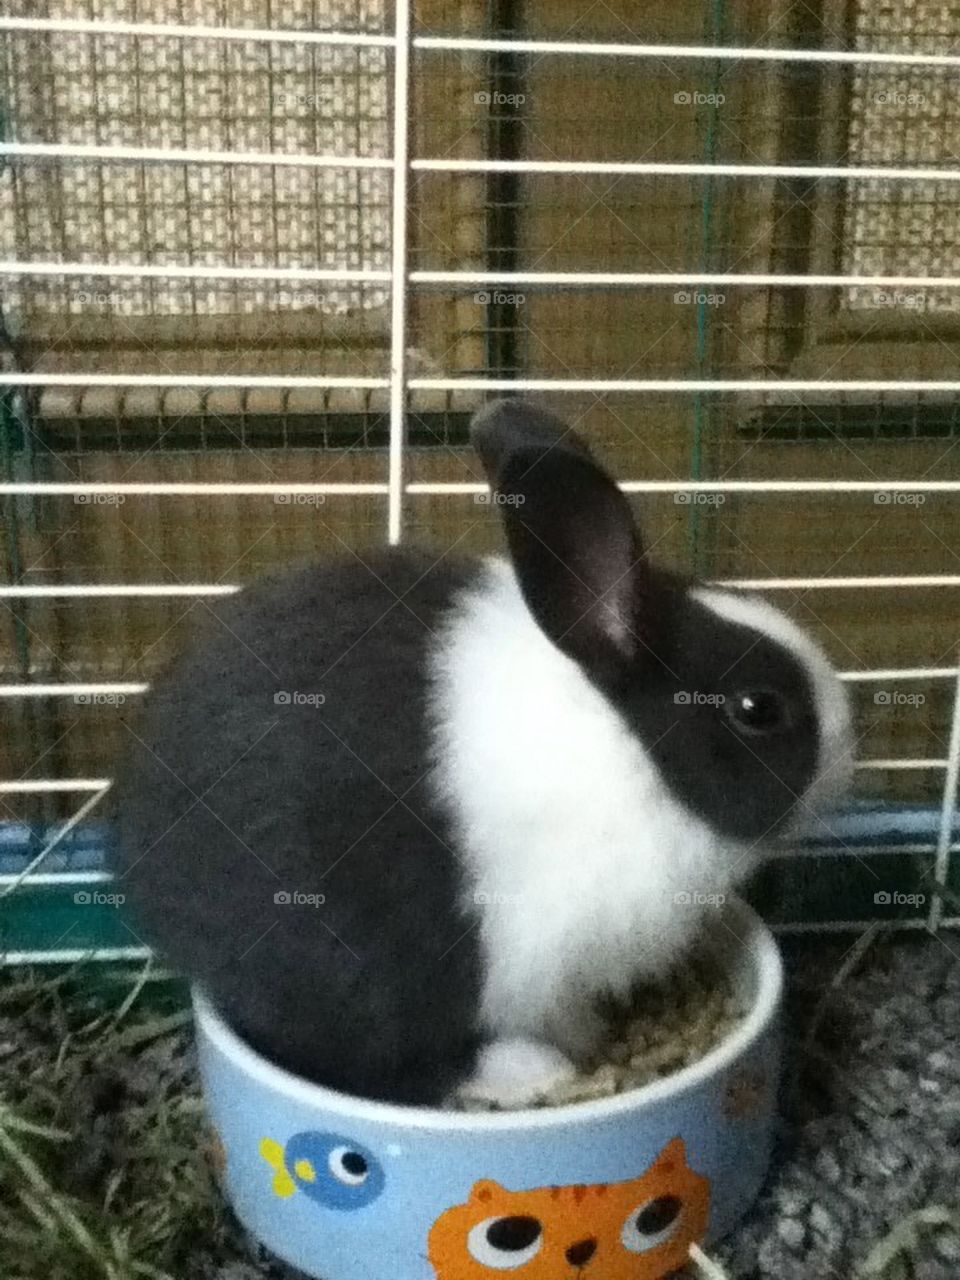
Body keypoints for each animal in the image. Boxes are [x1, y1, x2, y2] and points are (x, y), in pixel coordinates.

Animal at [109, 398, 853, 1108]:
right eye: (758, 709)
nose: (849, 747)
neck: (631, 746)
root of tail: (148, 872)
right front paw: (575, 1048)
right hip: (354, 970)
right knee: (367, 1059)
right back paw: (529, 1072)